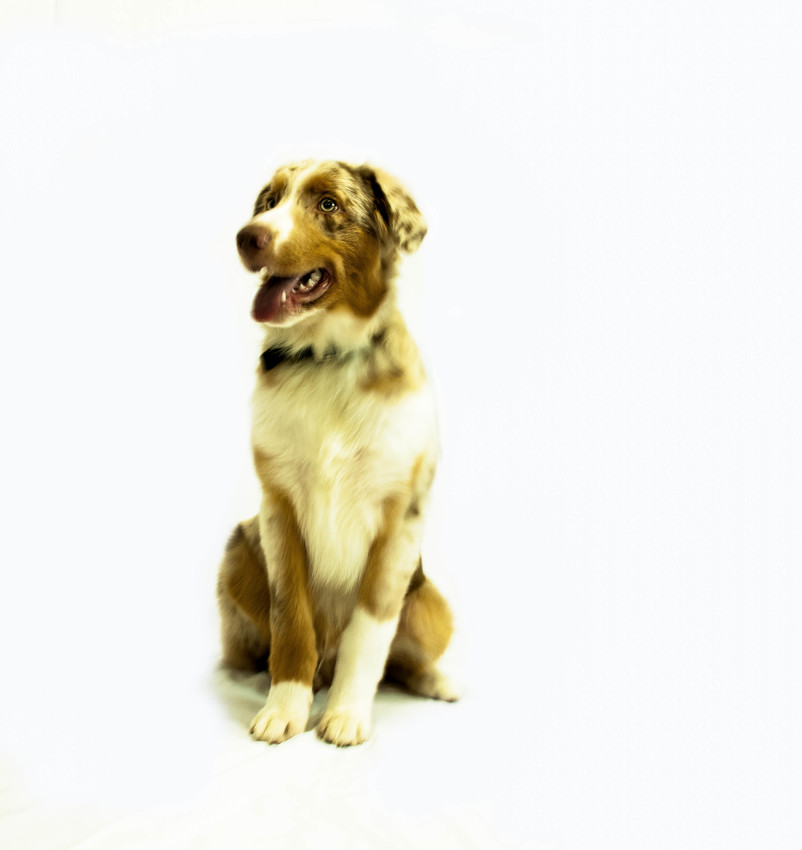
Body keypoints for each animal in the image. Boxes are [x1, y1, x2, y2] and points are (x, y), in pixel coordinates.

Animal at [217, 160, 458, 746]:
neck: (325, 358)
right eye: (269, 202)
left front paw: (346, 714)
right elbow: (291, 619)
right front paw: (284, 708)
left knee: (405, 660)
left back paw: (439, 682)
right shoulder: (278, 509)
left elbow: (369, 630)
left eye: (328, 204)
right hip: (238, 551)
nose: (247, 236)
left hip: (432, 602)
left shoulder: (399, 521)